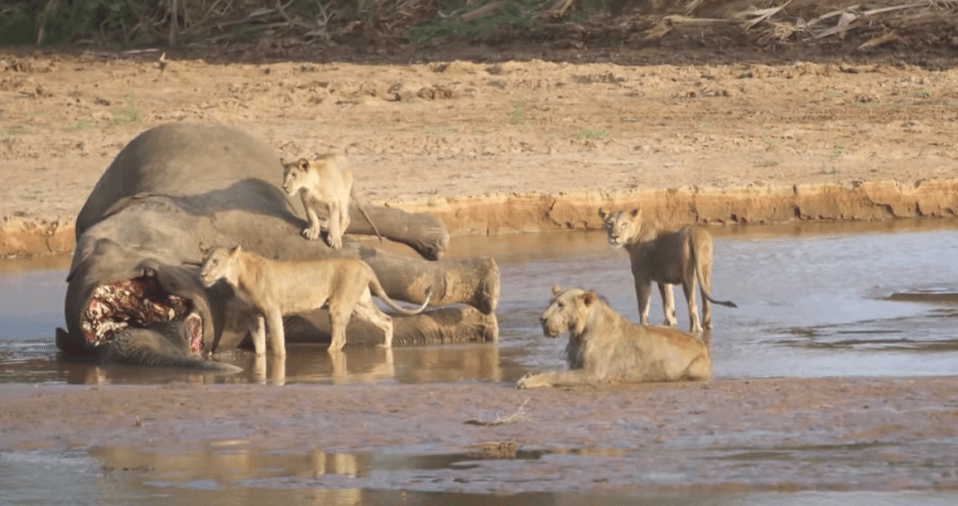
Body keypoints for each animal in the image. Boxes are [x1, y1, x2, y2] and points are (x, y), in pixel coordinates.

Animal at [201, 243, 434, 354]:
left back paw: (328, 352)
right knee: (386, 320)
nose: (202, 274)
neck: (237, 277)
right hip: (360, 304)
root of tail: (363, 263)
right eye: (204, 261)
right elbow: (259, 346)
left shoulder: (273, 311)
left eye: (215, 261)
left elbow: (278, 343)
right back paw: (385, 346)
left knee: (340, 339)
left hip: (339, 305)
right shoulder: (253, 316)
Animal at [516, 286, 712, 390]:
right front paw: (526, 376)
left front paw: (528, 381)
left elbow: (556, 374)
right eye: (551, 303)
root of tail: (703, 345)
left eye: (561, 305)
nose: (542, 319)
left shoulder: (592, 374)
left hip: (692, 369)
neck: (579, 334)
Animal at [600, 208, 736, 334]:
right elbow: (669, 303)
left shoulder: (641, 276)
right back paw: (707, 325)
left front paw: (643, 324)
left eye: (624, 224)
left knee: (692, 305)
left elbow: (643, 306)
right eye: (610, 224)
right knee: (706, 302)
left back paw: (695, 329)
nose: (614, 237)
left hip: (687, 276)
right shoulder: (663, 278)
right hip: (705, 270)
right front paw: (670, 323)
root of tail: (695, 233)